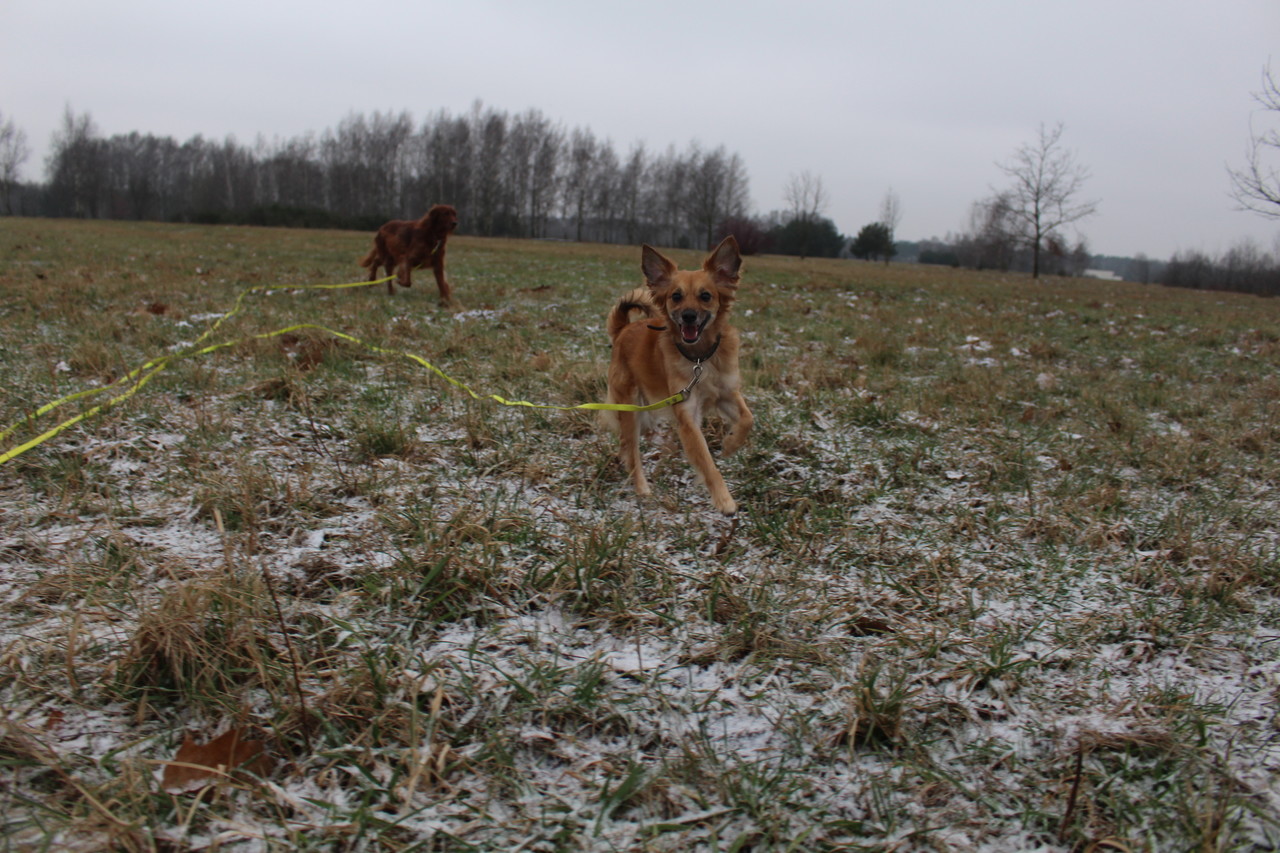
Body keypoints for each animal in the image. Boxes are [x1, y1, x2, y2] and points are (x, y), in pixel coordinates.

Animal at [603, 235, 753, 514]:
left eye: (705, 296)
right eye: (676, 296)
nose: (688, 316)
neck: (700, 359)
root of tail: (623, 329)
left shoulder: (728, 393)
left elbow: (748, 419)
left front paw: (730, 444)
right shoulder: (688, 416)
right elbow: (707, 462)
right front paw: (724, 500)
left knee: (625, 446)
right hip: (630, 409)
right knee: (632, 451)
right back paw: (641, 487)